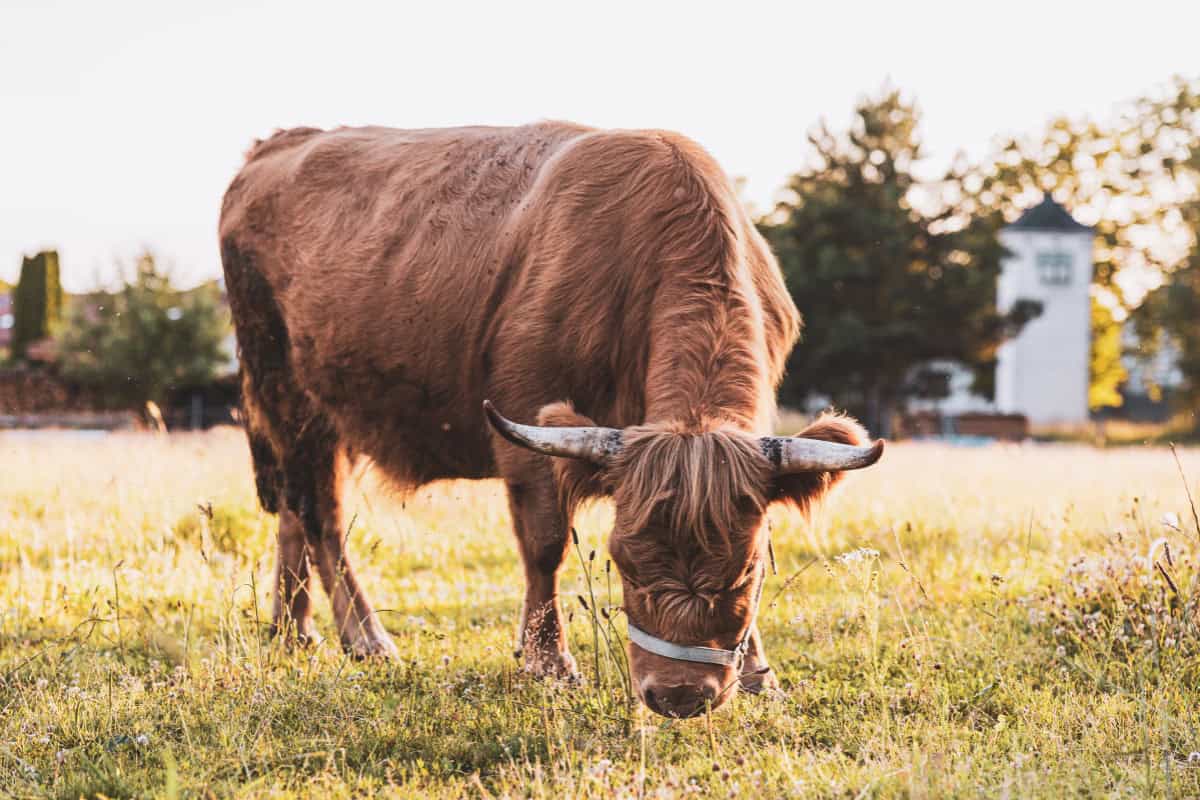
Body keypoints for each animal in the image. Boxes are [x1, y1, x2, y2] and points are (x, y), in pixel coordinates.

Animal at [219, 122, 882, 718]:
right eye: (624, 560)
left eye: (744, 571)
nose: (680, 696)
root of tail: (282, 141)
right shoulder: (528, 429)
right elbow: (544, 545)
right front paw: (549, 664)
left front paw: (758, 675)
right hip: (285, 390)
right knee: (321, 517)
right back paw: (366, 639)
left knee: (292, 513)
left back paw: (291, 629)